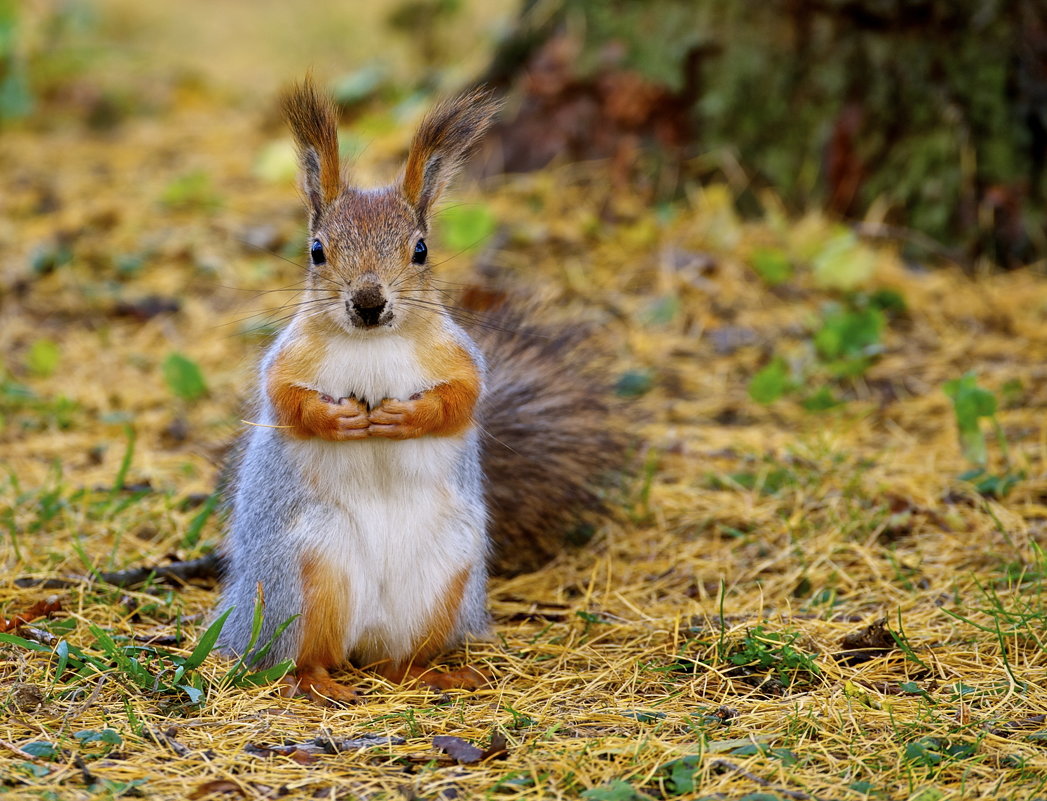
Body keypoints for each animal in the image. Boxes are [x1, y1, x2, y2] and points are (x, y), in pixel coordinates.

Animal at [213, 76, 619, 699]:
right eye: (316, 250)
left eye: (421, 249)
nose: (368, 302)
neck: (374, 343)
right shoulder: (286, 361)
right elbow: (287, 400)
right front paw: (339, 420)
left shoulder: (459, 357)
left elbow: (463, 398)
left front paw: (407, 418)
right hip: (306, 575)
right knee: (305, 654)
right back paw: (318, 683)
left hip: (441, 580)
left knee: (396, 661)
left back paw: (438, 673)